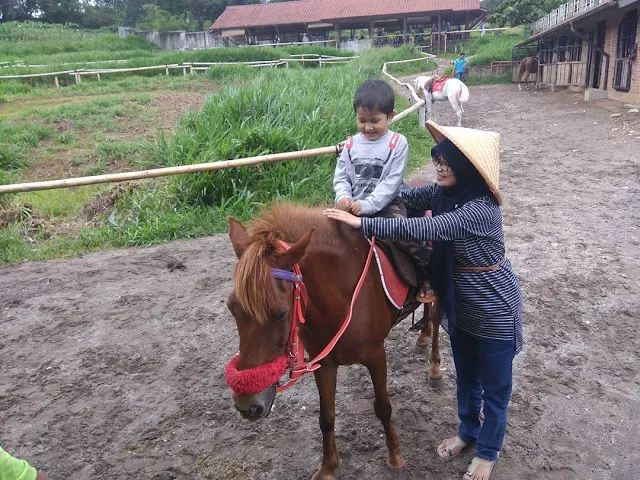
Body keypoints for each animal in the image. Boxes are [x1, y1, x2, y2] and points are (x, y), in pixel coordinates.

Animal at [225, 203, 440, 480]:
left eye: (281, 314)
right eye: (231, 308)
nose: (247, 405)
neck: (342, 295)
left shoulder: (376, 356)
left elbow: (383, 407)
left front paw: (394, 455)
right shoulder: (323, 363)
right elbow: (326, 417)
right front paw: (328, 466)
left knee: (437, 320)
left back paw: (435, 367)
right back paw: (422, 338)